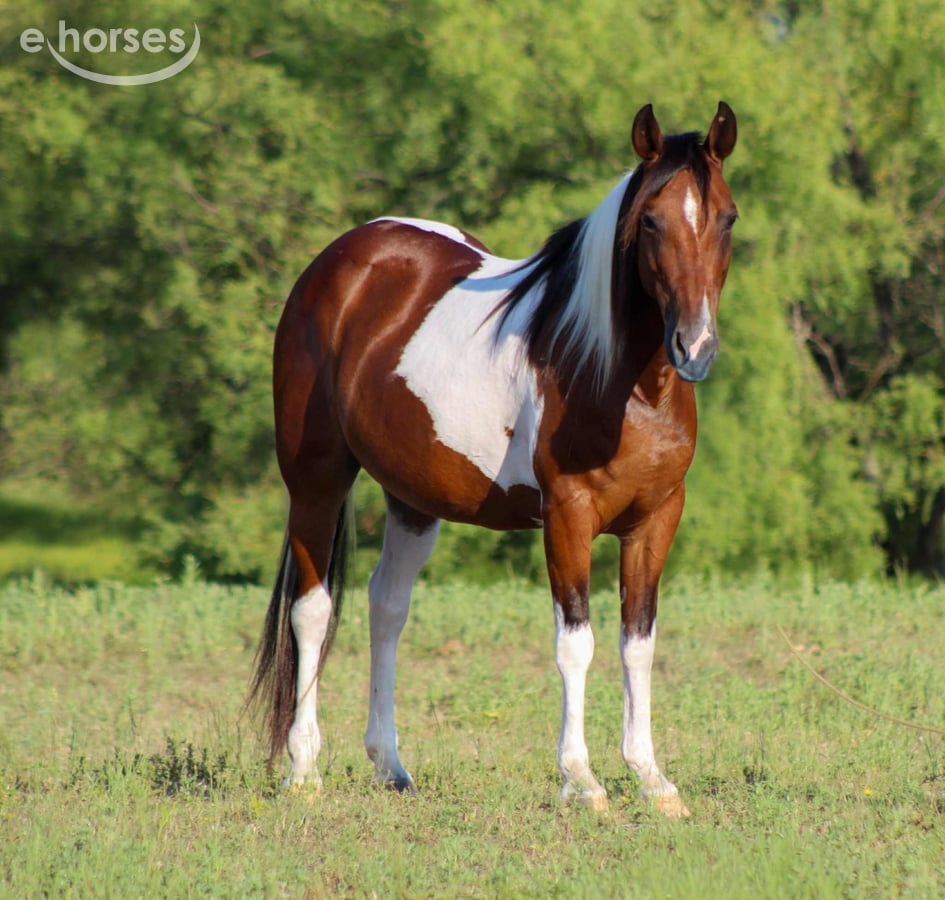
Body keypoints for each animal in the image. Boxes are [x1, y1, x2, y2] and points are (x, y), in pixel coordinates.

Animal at [250, 101, 738, 817]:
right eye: (650, 220)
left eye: (728, 218)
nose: (695, 347)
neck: (613, 375)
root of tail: (339, 260)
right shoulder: (567, 518)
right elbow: (576, 645)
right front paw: (582, 780)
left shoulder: (655, 521)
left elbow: (638, 646)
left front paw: (652, 779)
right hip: (316, 480)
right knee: (312, 612)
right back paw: (304, 770)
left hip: (413, 499)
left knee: (386, 606)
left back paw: (390, 765)